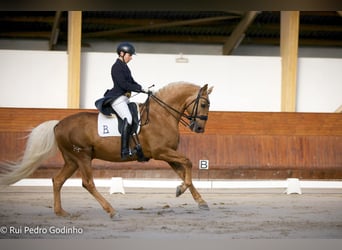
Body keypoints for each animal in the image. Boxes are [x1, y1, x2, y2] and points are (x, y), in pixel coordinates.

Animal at [0, 81, 212, 217]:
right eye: (203, 104)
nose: (199, 129)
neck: (161, 115)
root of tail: (58, 124)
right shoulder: (161, 152)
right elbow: (188, 163)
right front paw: (180, 190)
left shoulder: (168, 155)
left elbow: (184, 171)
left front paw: (200, 201)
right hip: (83, 156)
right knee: (87, 183)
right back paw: (111, 210)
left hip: (72, 160)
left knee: (57, 180)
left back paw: (61, 212)